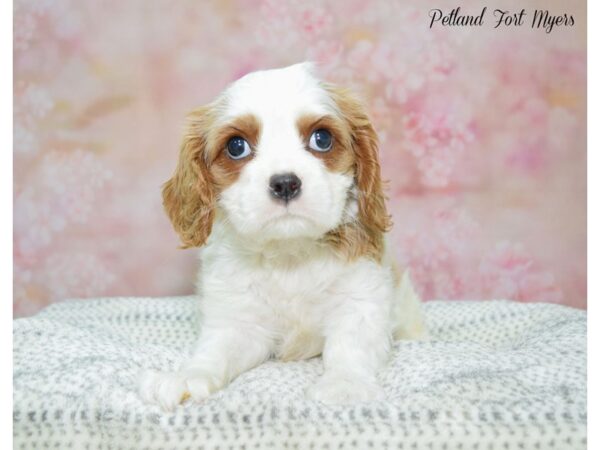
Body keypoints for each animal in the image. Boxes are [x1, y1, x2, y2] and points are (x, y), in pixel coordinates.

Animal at [141, 63, 426, 412]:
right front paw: (187, 376)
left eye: (322, 139)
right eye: (236, 146)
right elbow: (216, 351)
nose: (285, 183)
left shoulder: (361, 299)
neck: (290, 252)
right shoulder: (240, 321)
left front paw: (345, 385)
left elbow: (350, 346)